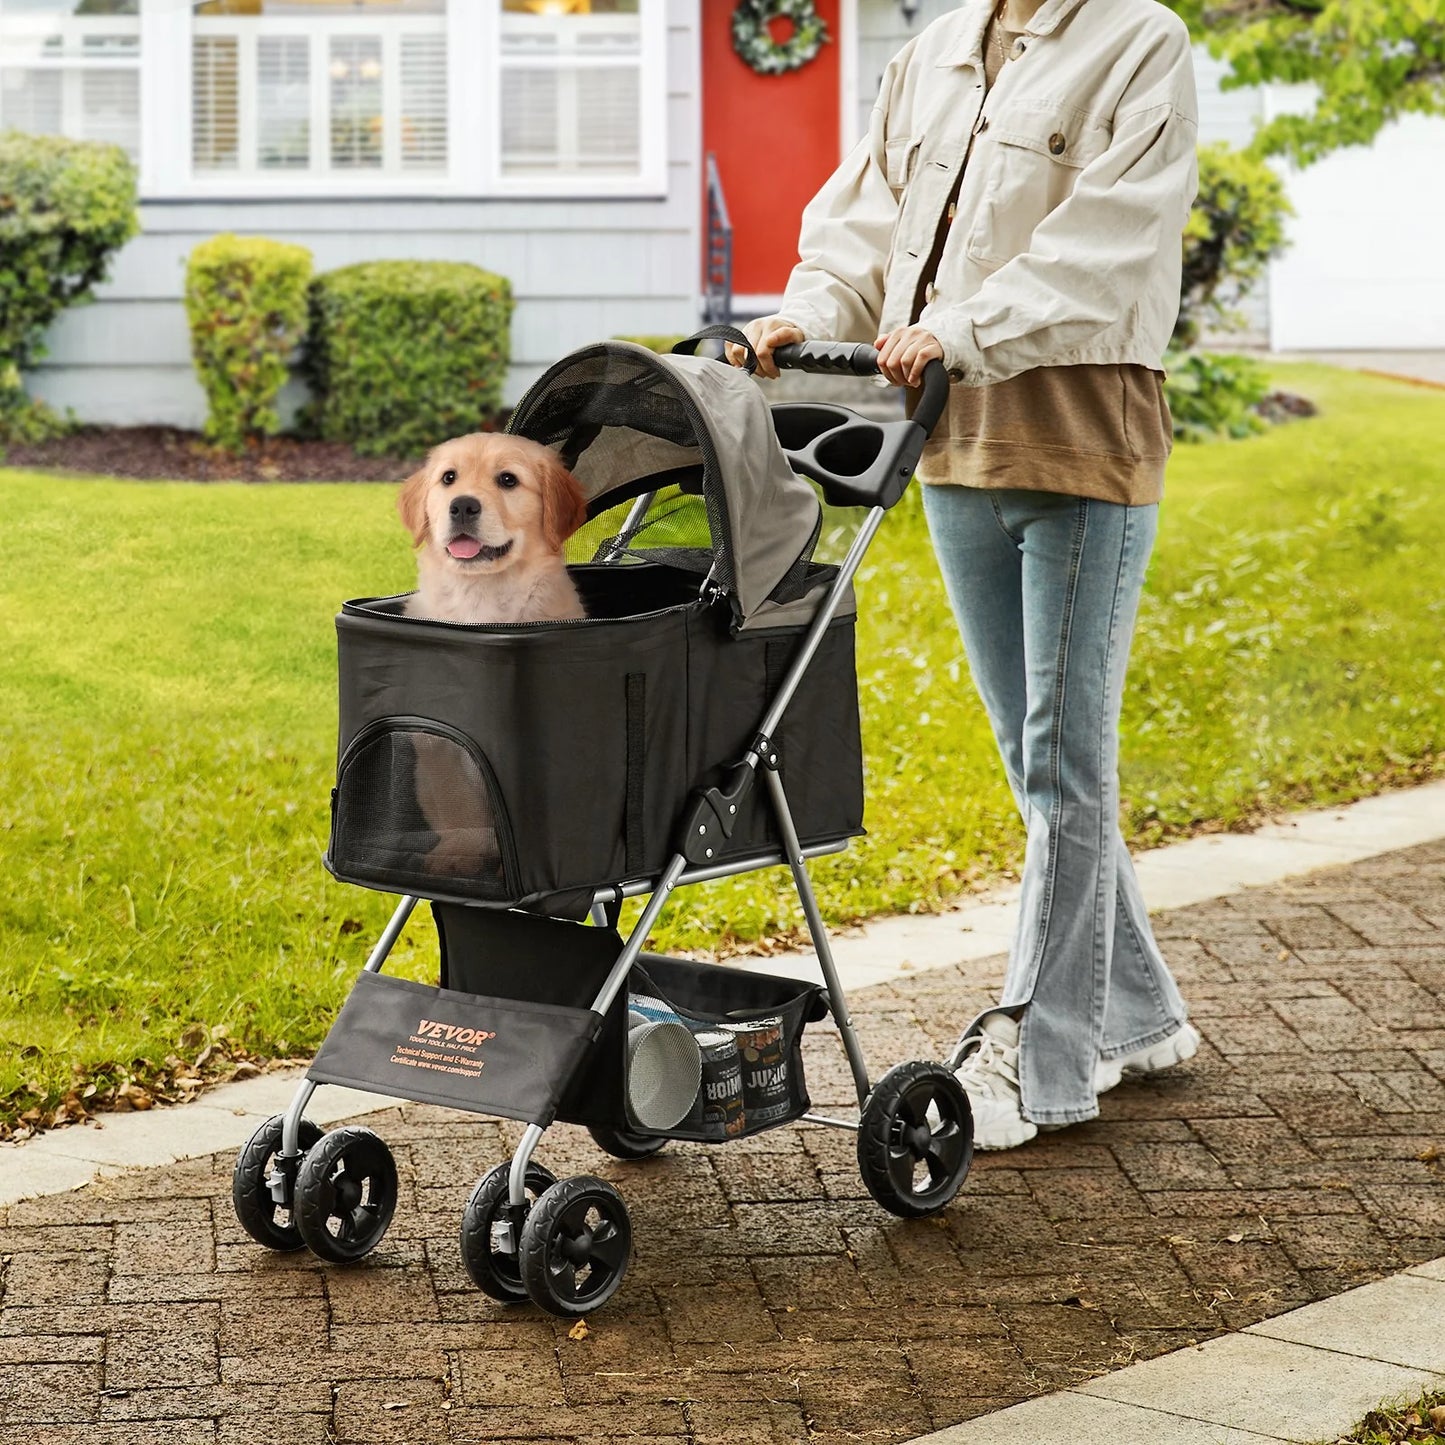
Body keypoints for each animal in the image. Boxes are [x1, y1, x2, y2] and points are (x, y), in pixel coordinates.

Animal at [395, 427, 586, 878]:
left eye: (508, 480)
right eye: (448, 478)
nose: (463, 505)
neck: (481, 596)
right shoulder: (439, 748)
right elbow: (459, 809)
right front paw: (459, 855)